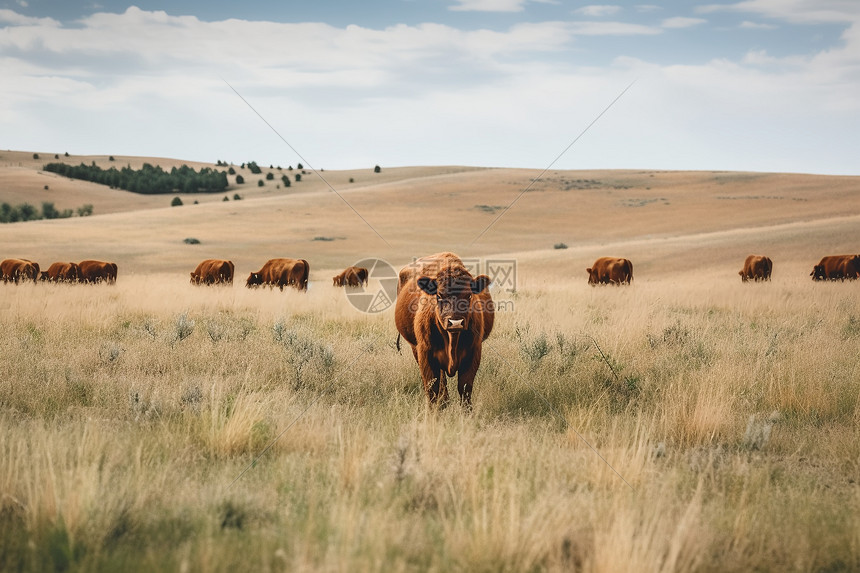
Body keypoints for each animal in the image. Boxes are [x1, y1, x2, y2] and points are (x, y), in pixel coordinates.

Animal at [394, 251, 494, 406]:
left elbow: (465, 388)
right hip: (414, 347)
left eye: (469, 295)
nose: (455, 322)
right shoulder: (426, 354)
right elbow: (432, 387)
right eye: (439, 295)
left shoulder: (473, 352)